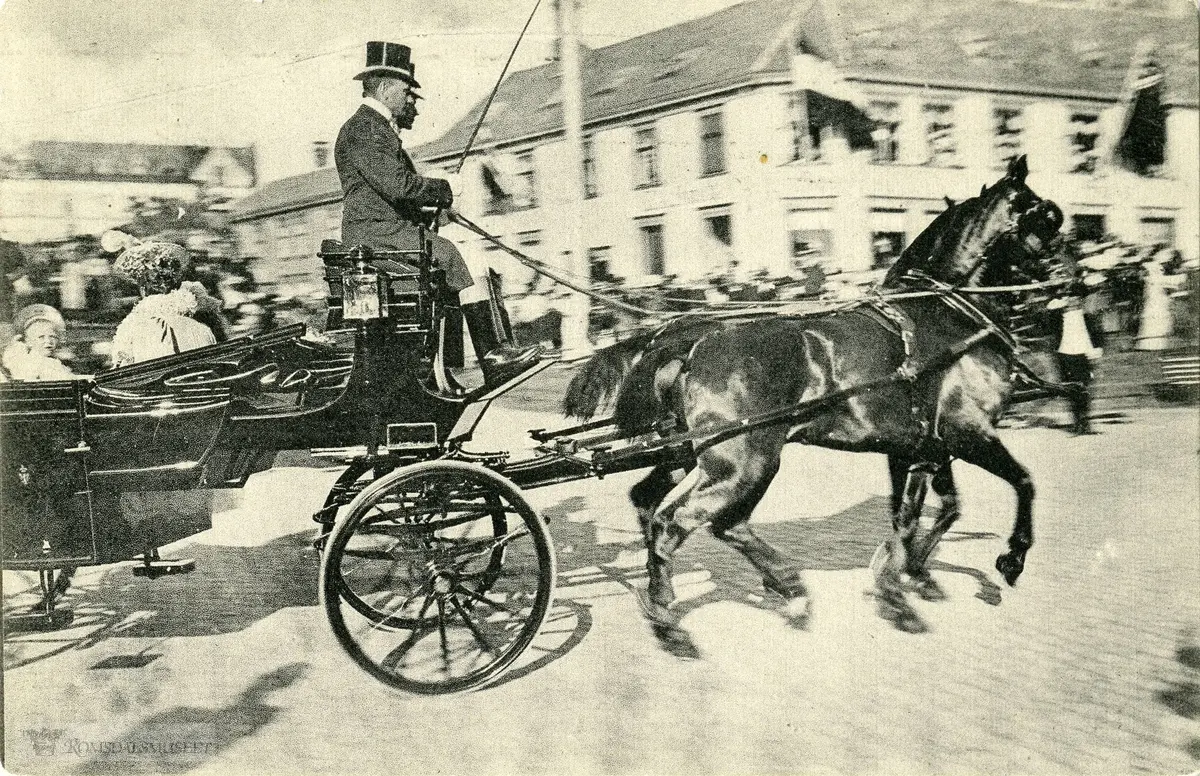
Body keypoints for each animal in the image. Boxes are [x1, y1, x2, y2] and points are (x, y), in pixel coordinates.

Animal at [566, 158, 1065, 642]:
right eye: (1047, 215)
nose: (1067, 277)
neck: (943, 315)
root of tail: (689, 340)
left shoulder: (920, 448)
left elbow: (920, 515)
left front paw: (907, 580)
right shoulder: (968, 433)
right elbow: (1022, 483)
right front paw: (1009, 560)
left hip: (693, 456)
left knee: (663, 506)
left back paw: (764, 587)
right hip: (745, 462)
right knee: (686, 523)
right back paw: (679, 621)